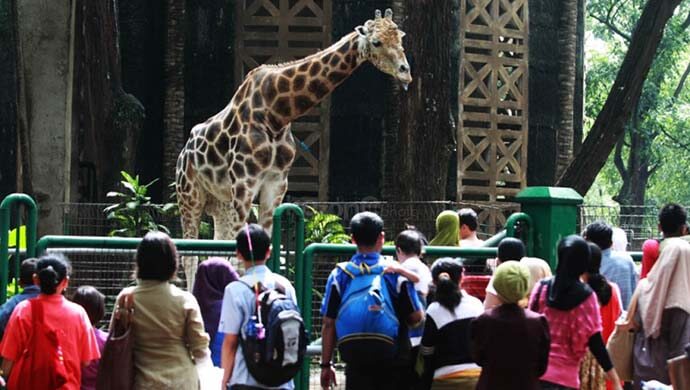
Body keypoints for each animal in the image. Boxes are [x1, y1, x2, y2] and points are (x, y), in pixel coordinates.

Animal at [176, 7, 408, 284]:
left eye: (401, 37)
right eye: (376, 42)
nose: (405, 71)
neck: (277, 113)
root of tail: (183, 153)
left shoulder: (276, 184)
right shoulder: (244, 183)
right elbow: (241, 259)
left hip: (221, 202)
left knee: (214, 251)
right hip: (190, 196)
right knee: (189, 255)